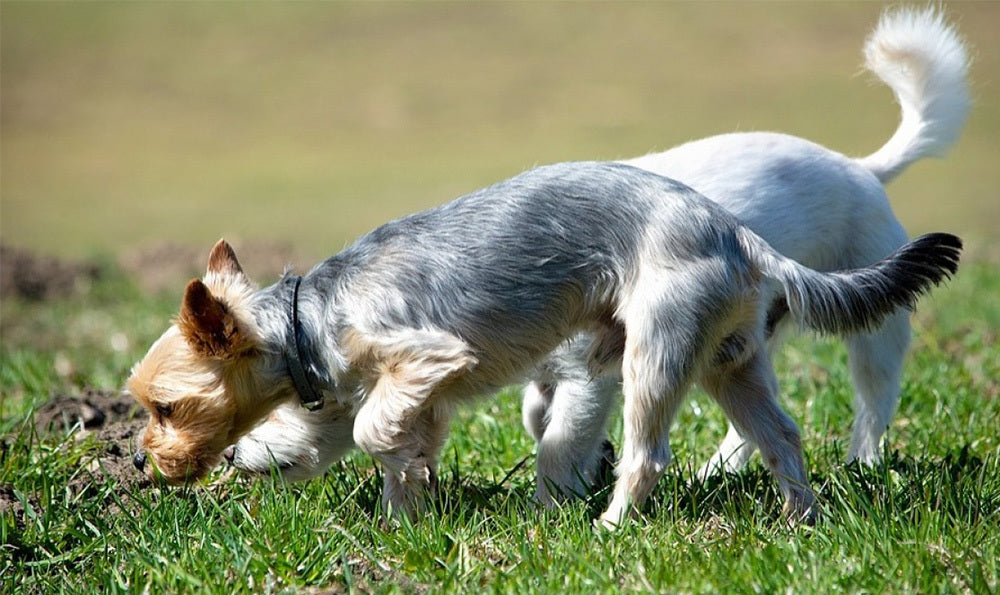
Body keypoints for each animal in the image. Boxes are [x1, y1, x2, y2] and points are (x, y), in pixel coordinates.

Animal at [176, 158, 964, 528]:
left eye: (291, 403)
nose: (233, 460)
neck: (316, 314)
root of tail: (740, 236)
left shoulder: (451, 360)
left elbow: (396, 431)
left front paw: (546, 512)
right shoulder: (428, 395)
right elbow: (409, 450)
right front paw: (407, 516)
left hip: (655, 354)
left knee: (648, 455)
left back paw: (611, 525)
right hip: (729, 363)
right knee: (781, 434)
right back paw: (801, 519)